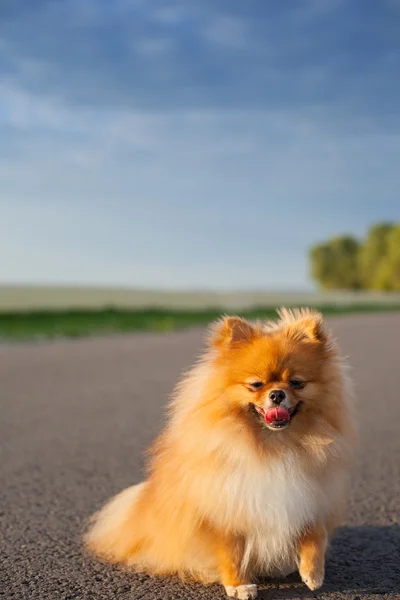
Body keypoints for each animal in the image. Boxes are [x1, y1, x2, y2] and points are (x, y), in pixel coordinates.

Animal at [84, 308, 356, 596]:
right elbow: (231, 551)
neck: (273, 444)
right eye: (256, 384)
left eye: (296, 382)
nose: (277, 394)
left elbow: (315, 535)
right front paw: (239, 585)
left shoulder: (311, 496)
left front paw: (313, 573)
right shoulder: (225, 510)